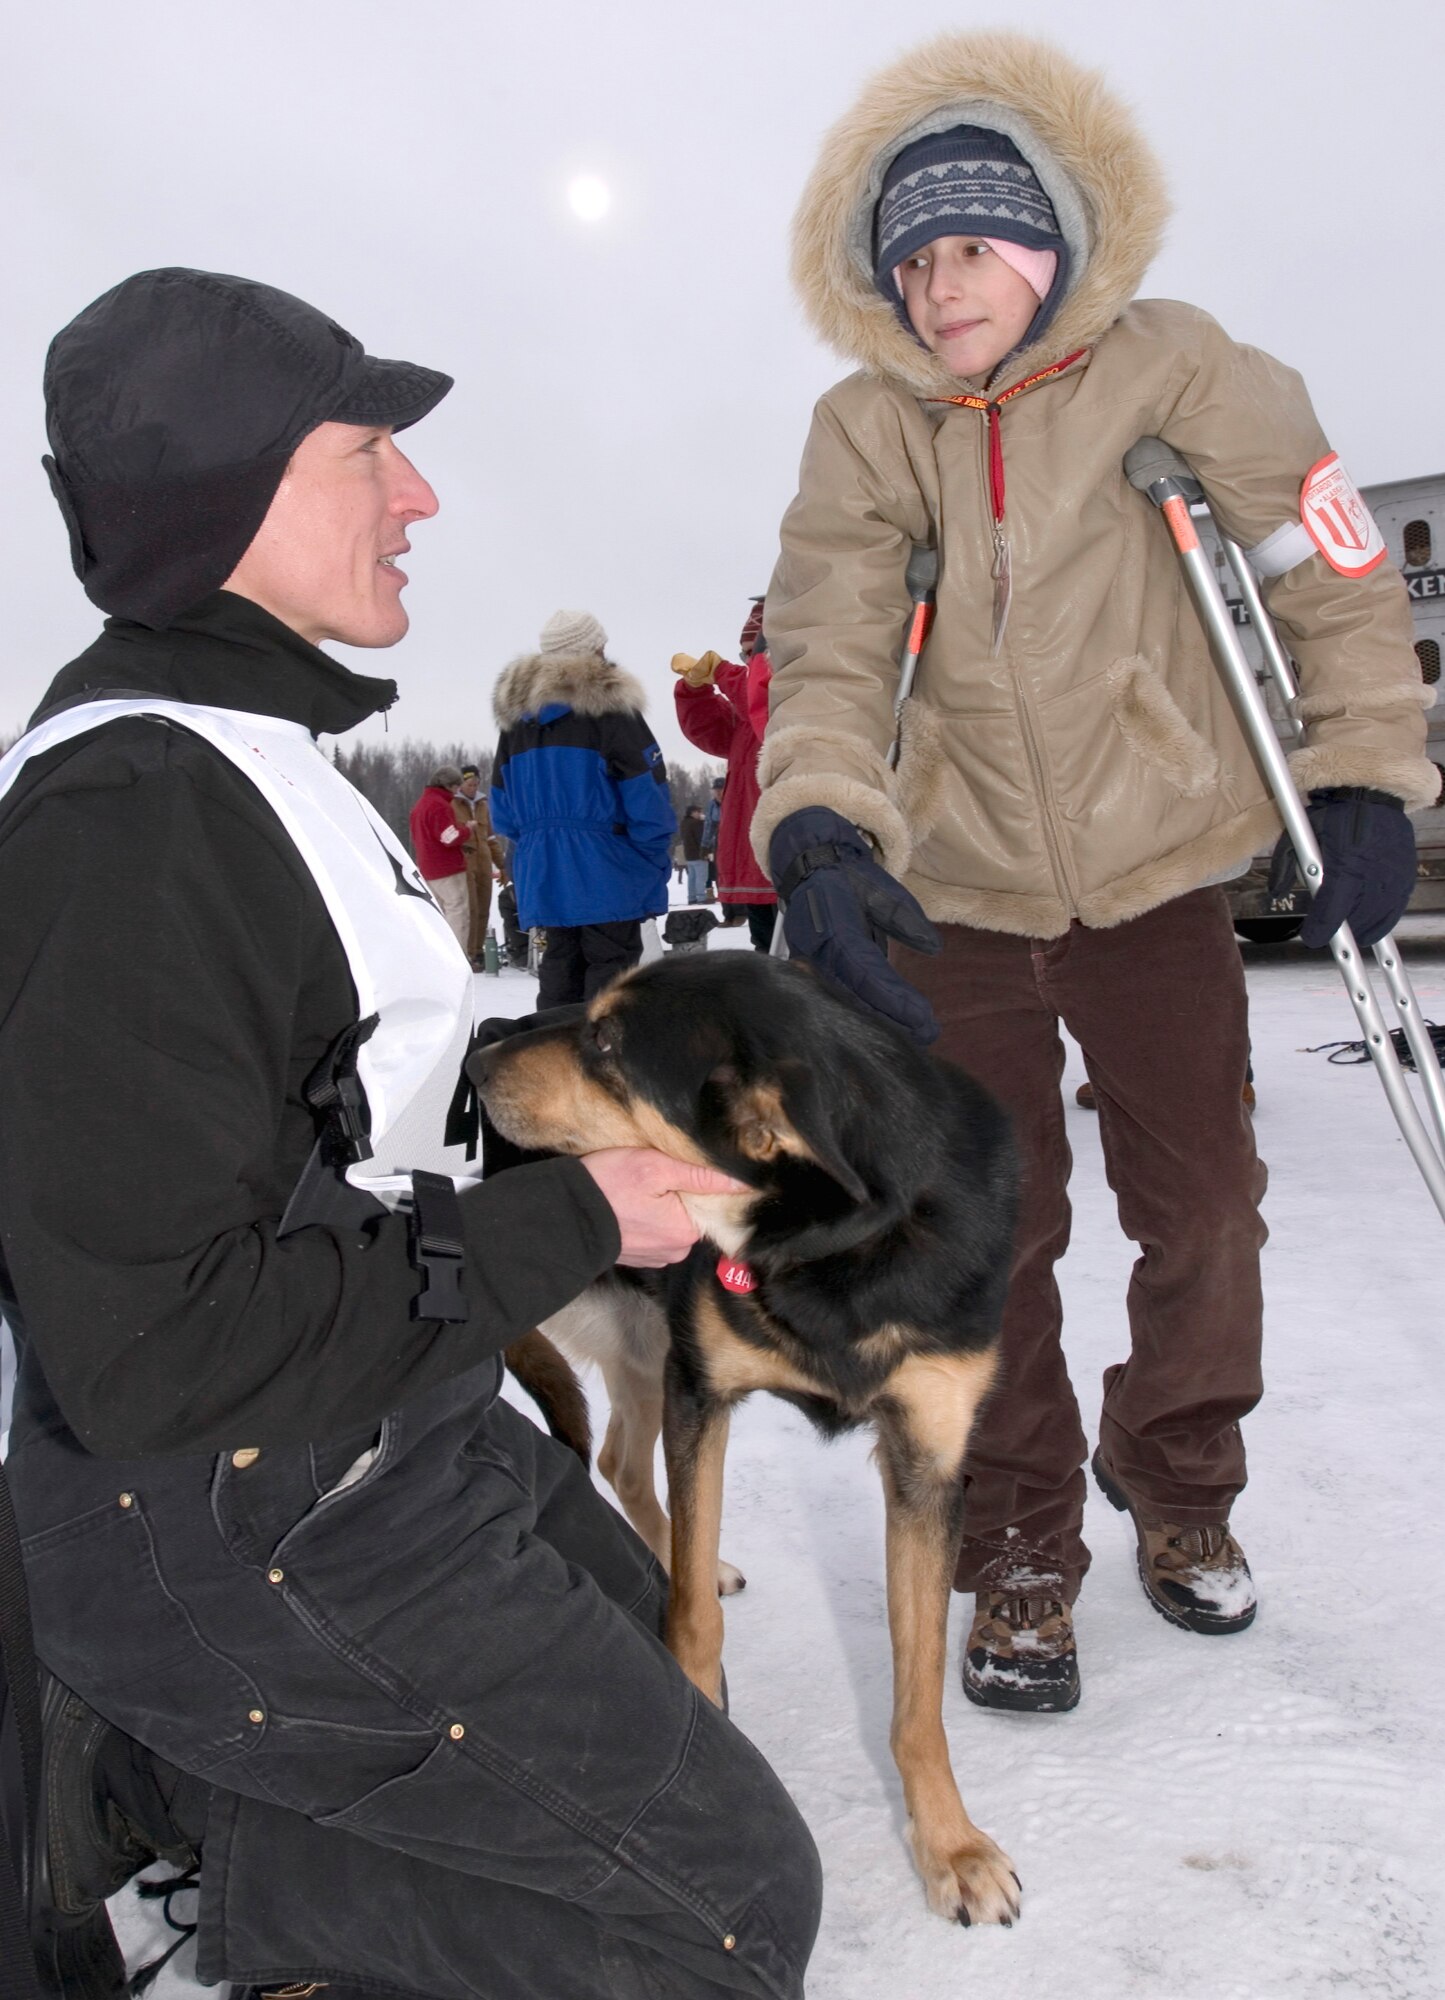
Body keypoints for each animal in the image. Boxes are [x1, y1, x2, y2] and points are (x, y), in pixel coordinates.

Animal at [470, 960, 1012, 1928]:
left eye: (605, 1042)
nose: (479, 1052)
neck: (830, 1253)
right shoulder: (702, 1386)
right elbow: (689, 1617)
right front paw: (696, 1717)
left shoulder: (926, 1464)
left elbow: (916, 1697)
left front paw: (950, 1847)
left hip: (647, 1341)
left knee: (618, 1460)